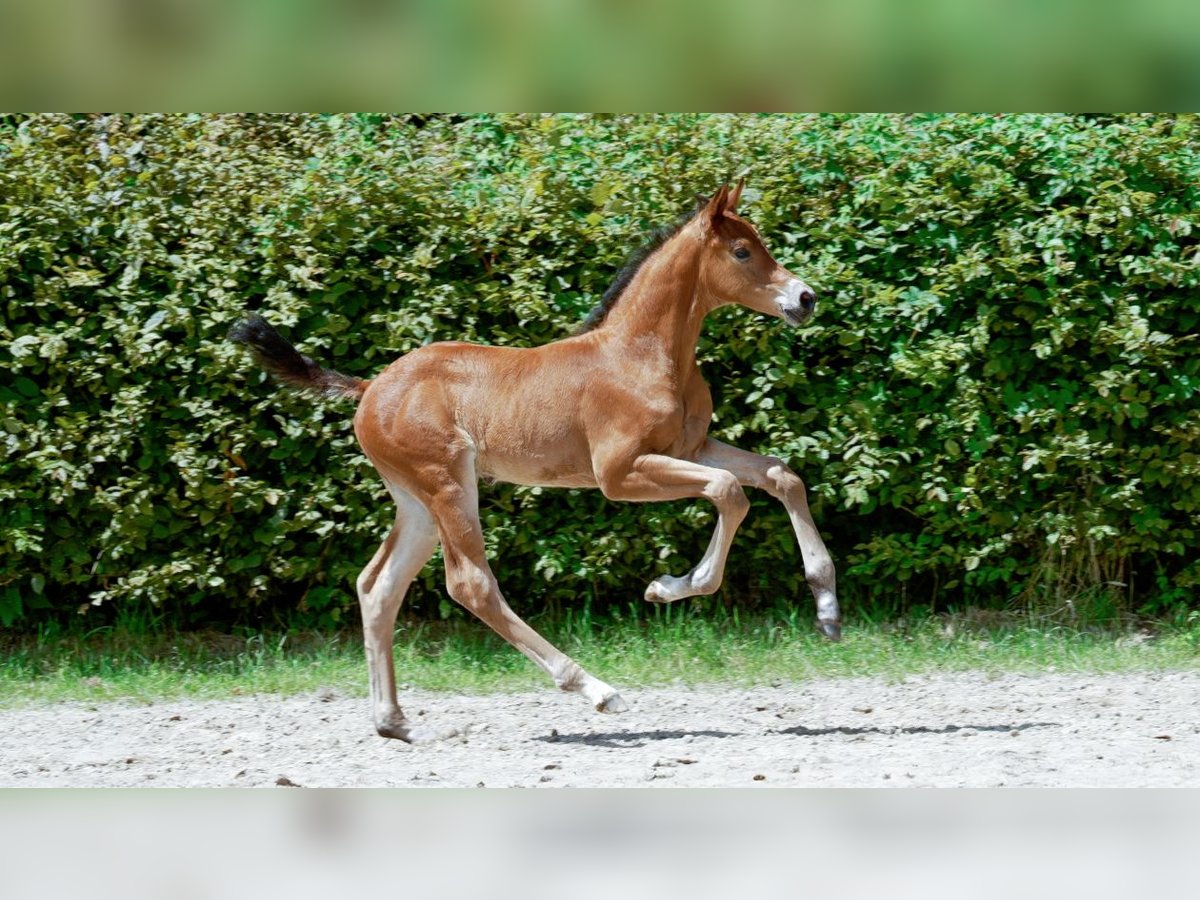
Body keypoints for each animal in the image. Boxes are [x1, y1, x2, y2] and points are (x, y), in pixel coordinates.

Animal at [229, 184, 840, 748]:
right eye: (742, 251)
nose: (806, 297)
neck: (640, 355)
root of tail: (368, 387)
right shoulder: (620, 474)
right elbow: (729, 492)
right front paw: (667, 587)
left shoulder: (691, 448)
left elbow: (780, 475)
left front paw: (827, 607)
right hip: (449, 485)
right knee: (470, 584)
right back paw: (596, 689)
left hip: (417, 502)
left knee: (377, 585)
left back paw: (396, 723)